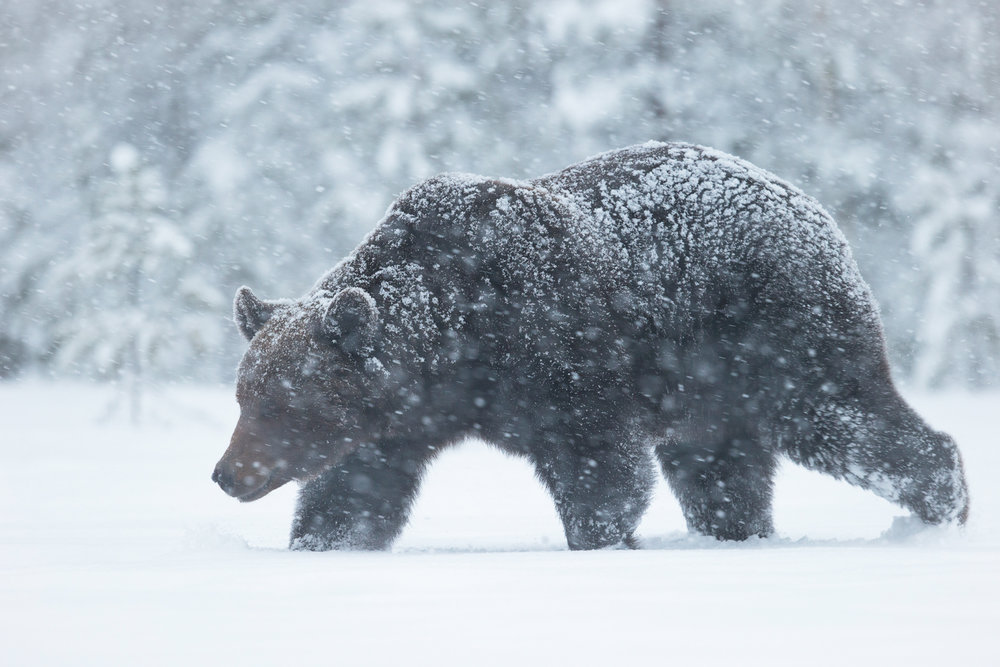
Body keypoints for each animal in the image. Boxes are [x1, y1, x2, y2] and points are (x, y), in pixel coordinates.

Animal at [212, 141, 969, 550]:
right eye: (244, 397)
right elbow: (354, 491)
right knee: (720, 472)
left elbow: (600, 471)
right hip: (707, 394)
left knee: (842, 415)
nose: (226, 473)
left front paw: (600, 537)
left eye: (280, 403)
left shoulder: (566, 359)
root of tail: (814, 209)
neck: (454, 350)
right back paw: (735, 532)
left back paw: (945, 503)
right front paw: (318, 542)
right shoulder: (395, 424)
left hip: (774, 334)